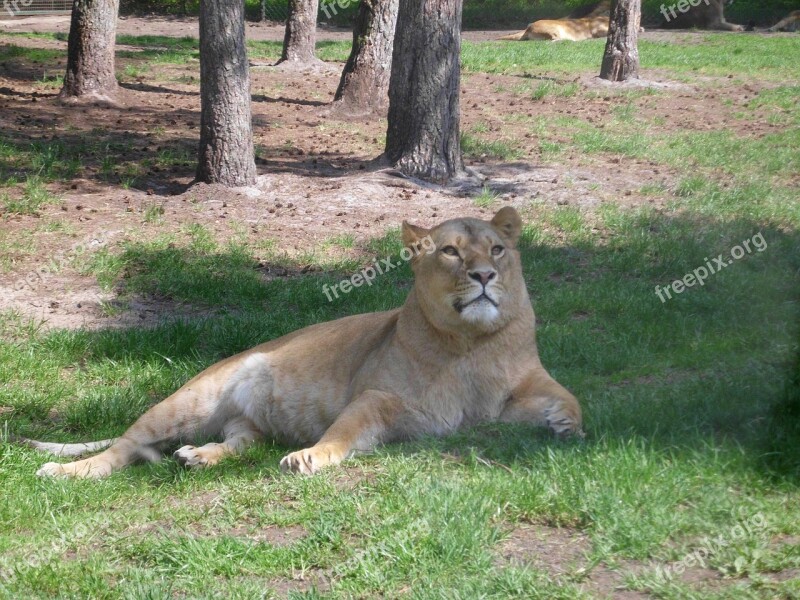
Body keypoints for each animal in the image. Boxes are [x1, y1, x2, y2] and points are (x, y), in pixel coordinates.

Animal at [25, 209, 584, 480]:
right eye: (450, 251)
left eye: (497, 249)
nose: (485, 274)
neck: (470, 345)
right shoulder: (376, 399)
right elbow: (343, 430)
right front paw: (311, 457)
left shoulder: (515, 392)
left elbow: (568, 395)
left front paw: (566, 425)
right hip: (191, 399)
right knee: (124, 446)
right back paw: (67, 470)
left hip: (242, 425)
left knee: (240, 441)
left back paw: (200, 458)